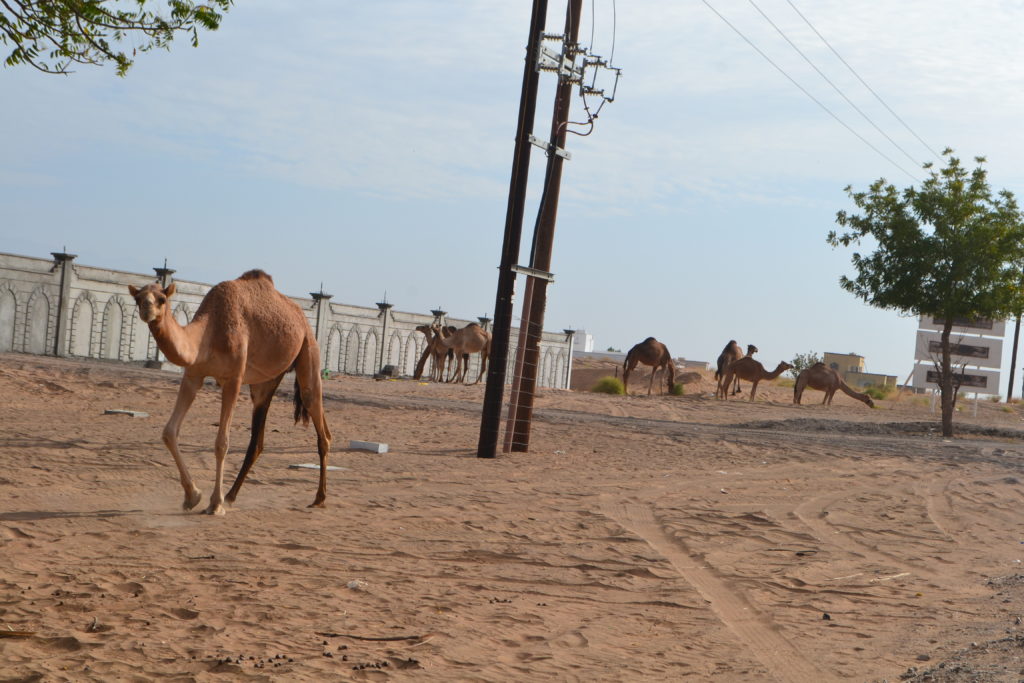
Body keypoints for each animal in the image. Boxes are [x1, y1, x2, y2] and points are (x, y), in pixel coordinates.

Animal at [125, 270, 329, 516]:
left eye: (162, 299)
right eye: (138, 298)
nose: (147, 309)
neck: (208, 333)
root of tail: (302, 318)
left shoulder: (233, 379)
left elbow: (222, 442)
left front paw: (214, 504)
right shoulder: (193, 375)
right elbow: (169, 432)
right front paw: (193, 496)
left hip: (309, 352)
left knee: (319, 423)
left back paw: (319, 498)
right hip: (264, 382)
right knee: (258, 440)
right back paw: (231, 496)